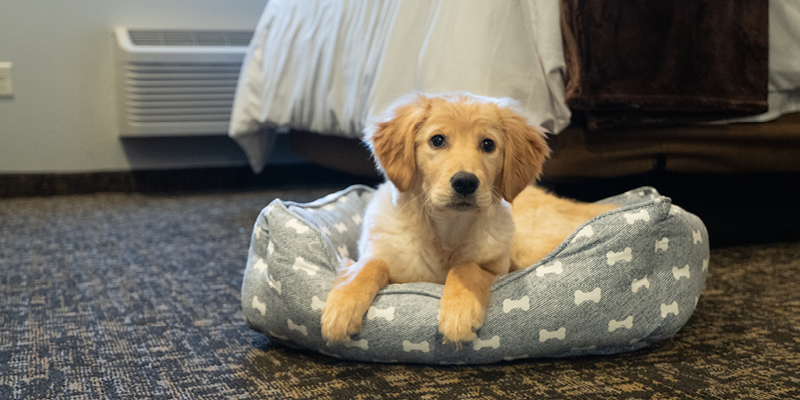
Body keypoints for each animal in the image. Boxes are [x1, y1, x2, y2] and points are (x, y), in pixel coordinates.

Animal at [320, 92, 615, 345]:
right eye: (437, 140)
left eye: (488, 144)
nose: (465, 182)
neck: (447, 229)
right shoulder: (380, 255)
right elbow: (368, 266)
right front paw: (342, 307)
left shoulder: (496, 267)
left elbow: (466, 268)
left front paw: (459, 311)